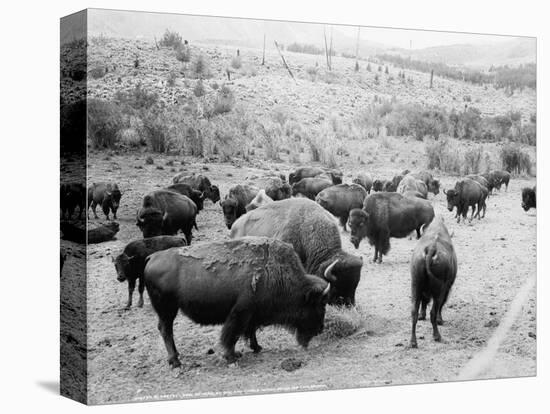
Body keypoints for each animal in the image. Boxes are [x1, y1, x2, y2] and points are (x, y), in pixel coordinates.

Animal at [143, 238, 332, 368]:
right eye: (319, 305)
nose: (321, 328)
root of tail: (152, 257)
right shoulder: (240, 313)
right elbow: (232, 335)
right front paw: (231, 357)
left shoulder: (252, 313)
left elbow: (250, 331)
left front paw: (256, 348)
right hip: (167, 309)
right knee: (166, 330)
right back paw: (175, 361)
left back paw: (177, 357)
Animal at [412, 215, 460, 348]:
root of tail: (431, 249)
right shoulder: (446, 288)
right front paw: (440, 320)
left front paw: (422, 315)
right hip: (439, 291)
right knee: (433, 311)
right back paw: (437, 336)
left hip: (415, 287)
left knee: (414, 312)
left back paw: (413, 342)